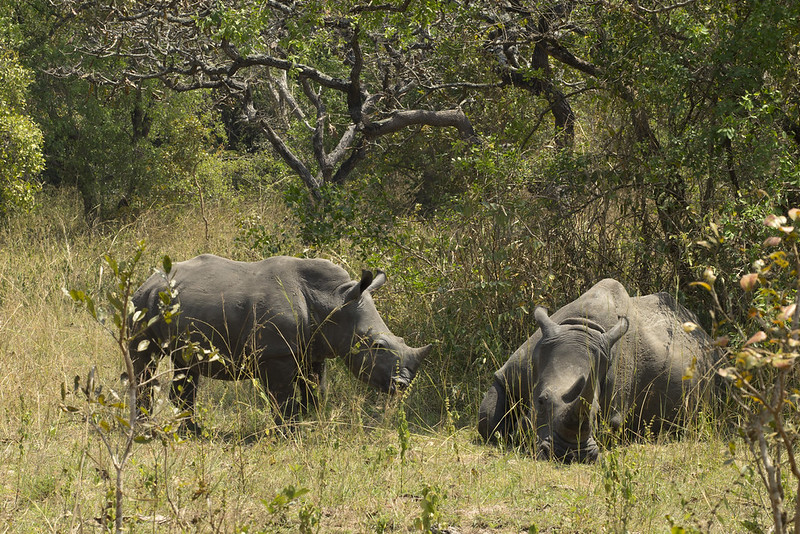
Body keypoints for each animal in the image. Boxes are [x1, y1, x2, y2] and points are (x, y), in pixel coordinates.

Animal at [129, 254, 431, 430]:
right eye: (377, 345)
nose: (403, 384)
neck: (335, 300)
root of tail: (148, 280)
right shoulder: (277, 354)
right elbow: (282, 396)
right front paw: (287, 431)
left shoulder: (312, 351)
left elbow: (315, 390)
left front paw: (309, 422)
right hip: (141, 304)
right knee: (144, 360)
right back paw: (146, 428)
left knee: (185, 365)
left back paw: (191, 432)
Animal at [478, 278, 718, 462]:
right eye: (541, 401)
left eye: (596, 412)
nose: (569, 455)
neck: (580, 327)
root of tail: (703, 331)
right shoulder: (510, 373)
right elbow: (488, 419)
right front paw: (517, 431)